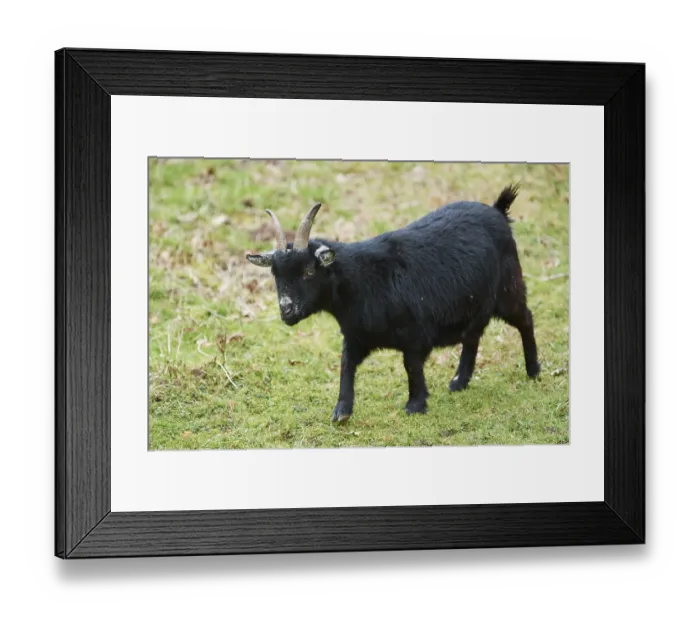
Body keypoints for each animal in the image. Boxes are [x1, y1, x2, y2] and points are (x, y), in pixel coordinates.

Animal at [246, 184, 540, 423]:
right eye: (275, 274)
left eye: (309, 271)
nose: (286, 310)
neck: (362, 281)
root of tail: (498, 210)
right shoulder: (356, 335)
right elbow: (345, 366)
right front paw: (342, 411)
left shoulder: (415, 335)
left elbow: (411, 366)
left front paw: (415, 404)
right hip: (474, 301)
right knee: (473, 334)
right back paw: (459, 382)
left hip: (508, 289)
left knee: (525, 319)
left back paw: (533, 371)